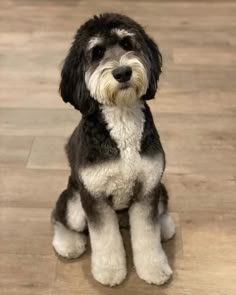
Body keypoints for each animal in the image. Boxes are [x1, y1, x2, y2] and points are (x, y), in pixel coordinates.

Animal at [52, 12, 177, 288]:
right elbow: (105, 239)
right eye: (96, 52)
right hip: (75, 203)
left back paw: (164, 226)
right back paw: (68, 243)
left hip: (161, 191)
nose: (122, 72)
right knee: (60, 216)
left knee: (159, 214)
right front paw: (109, 272)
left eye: (128, 43)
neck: (122, 120)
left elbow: (147, 235)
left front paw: (154, 268)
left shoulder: (147, 189)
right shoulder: (95, 196)